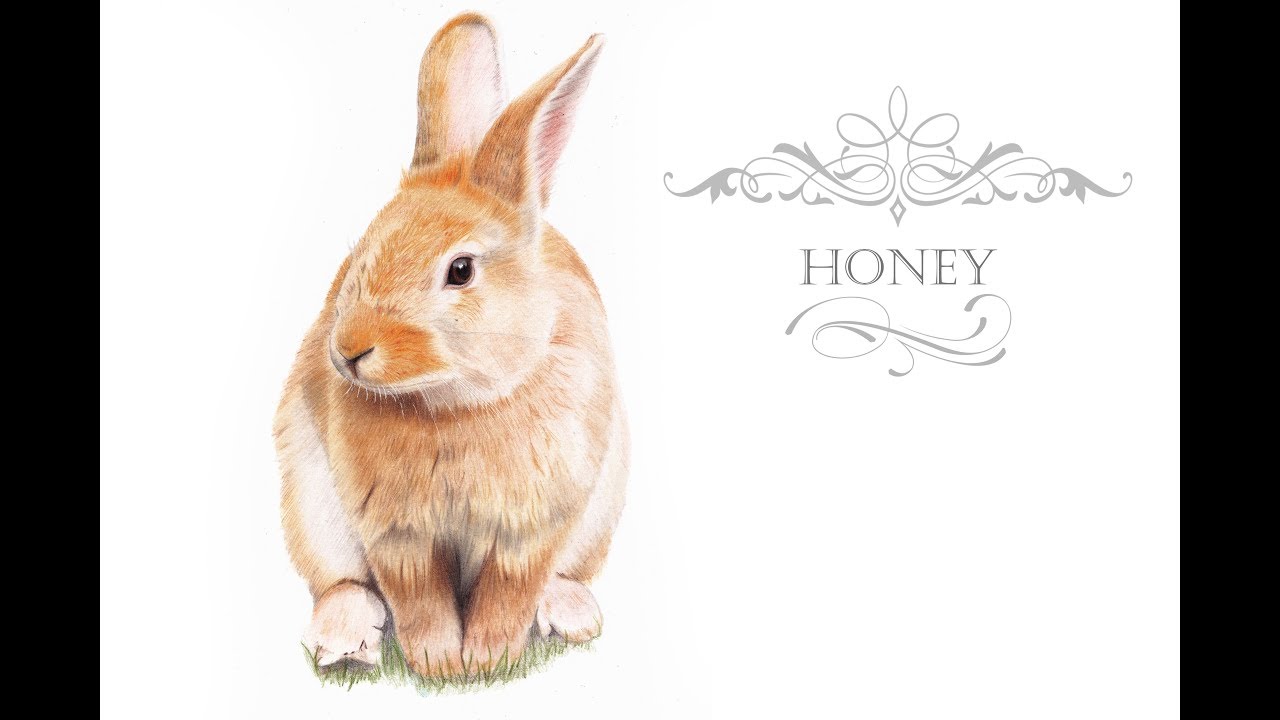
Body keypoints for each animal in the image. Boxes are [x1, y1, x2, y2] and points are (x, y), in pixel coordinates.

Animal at [273, 13, 627, 678]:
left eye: (460, 270)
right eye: (361, 252)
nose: (349, 351)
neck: (458, 404)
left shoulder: (534, 526)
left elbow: (509, 593)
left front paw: (486, 662)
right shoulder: (396, 533)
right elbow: (419, 599)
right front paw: (440, 663)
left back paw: (571, 615)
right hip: (310, 504)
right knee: (342, 583)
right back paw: (343, 640)